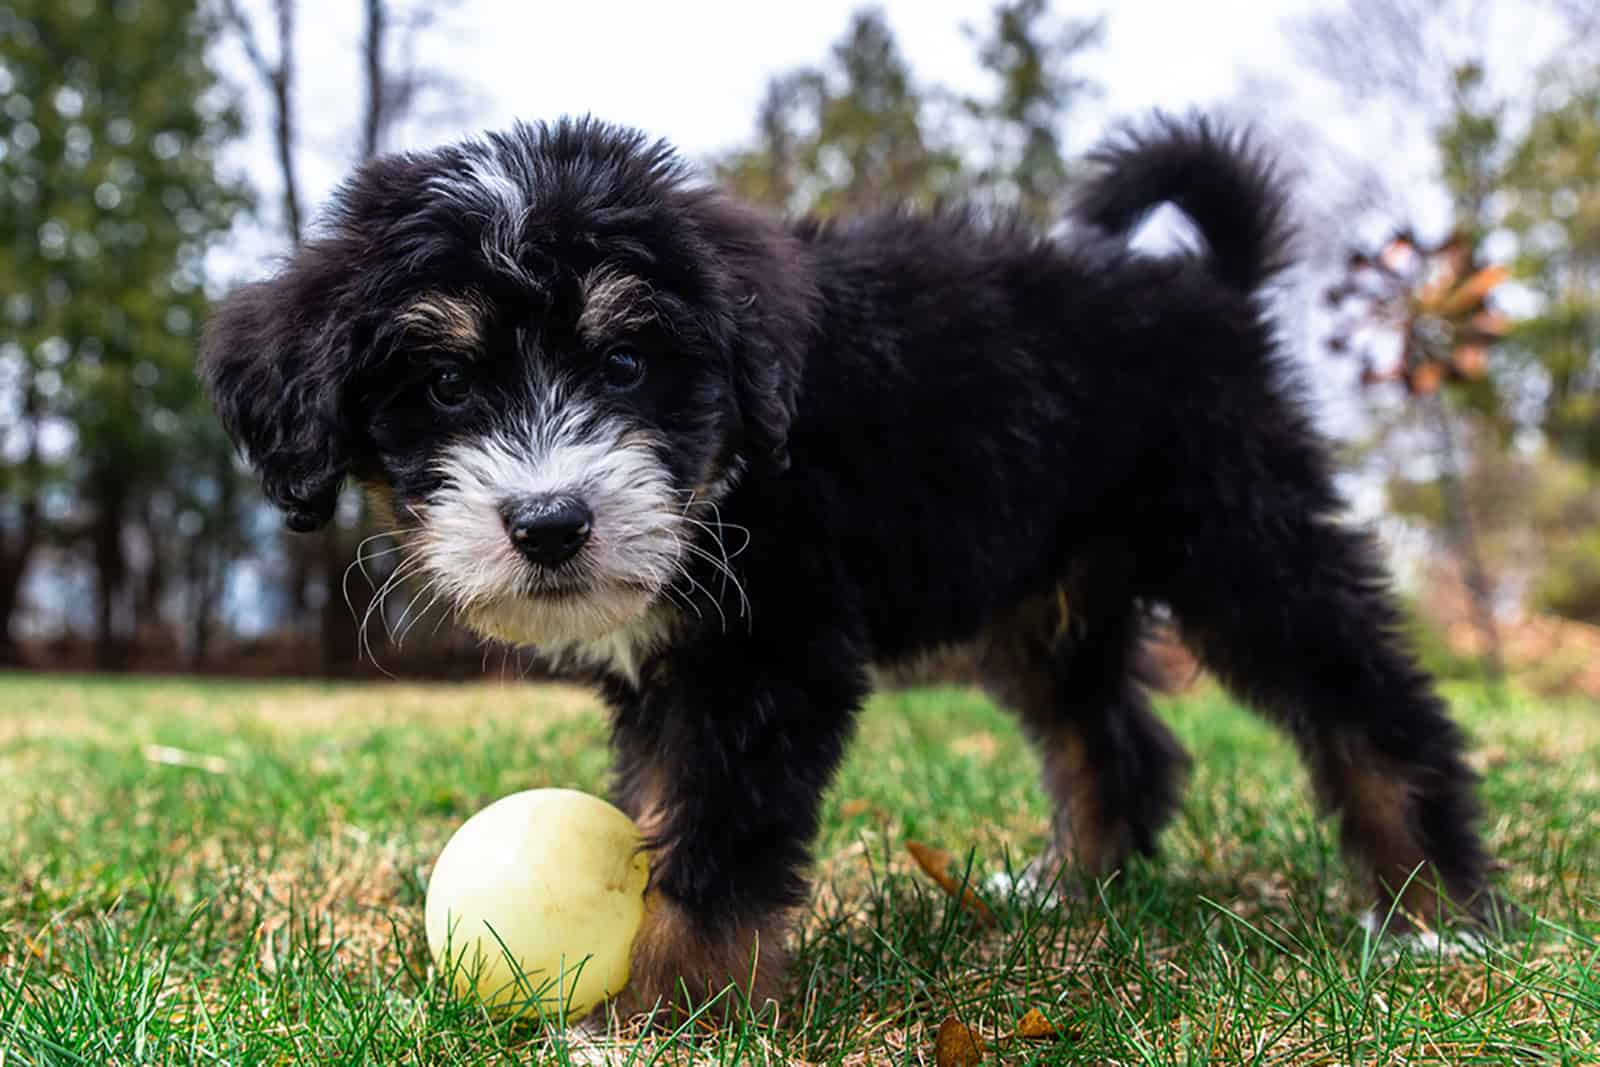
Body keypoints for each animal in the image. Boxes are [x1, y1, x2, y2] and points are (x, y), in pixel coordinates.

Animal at [200, 115, 1484, 1017]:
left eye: (624, 364)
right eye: (447, 383)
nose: (551, 521)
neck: (737, 465)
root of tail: (1205, 286)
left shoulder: (771, 656)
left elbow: (716, 841)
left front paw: (667, 1011)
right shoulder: (678, 668)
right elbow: (666, 805)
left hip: (1238, 534)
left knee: (1371, 702)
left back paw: (1435, 911)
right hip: (1046, 595)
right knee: (1112, 739)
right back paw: (1069, 891)